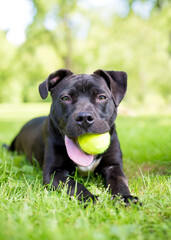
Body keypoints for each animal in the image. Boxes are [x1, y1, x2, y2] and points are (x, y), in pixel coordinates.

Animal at [8, 68, 138, 203]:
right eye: (65, 98)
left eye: (101, 97)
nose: (84, 118)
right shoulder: (53, 172)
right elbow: (74, 185)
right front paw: (89, 198)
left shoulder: (113, 166)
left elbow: (120, 182)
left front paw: (126, 198)